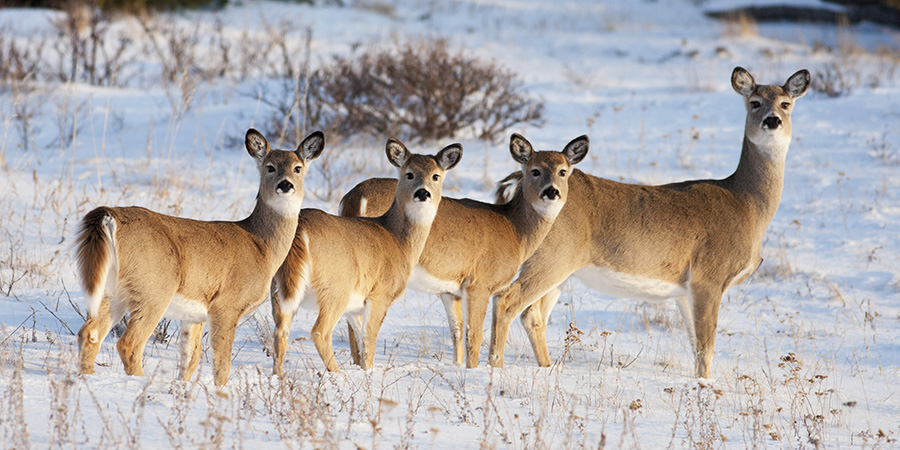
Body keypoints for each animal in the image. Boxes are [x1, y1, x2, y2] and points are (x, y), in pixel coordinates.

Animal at [76, 128, 324, 384]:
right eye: (270, 167)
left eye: (298, 167)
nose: (285, 185)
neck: (262, 246)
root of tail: (109, 215)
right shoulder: (226, 304)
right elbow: (222, 363)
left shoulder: (194, 315)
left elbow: (190, 360)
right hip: (154, 287)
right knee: (129, 343)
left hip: (111, 288)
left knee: (89, 333)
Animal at [270, 139, 460, 374]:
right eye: (409, 174)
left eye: (436, 175)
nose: (423, 193)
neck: (399, 241)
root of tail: (300, 230)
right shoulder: (380, 294)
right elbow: (369, 341)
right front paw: (369, 374)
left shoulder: (355, 306)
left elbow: (360, 342)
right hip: (336, 288)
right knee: (320, 332)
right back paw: (338, 375)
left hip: (279, 288)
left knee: (280, 331)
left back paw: (277, 376)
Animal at [342, 134, 588, 366]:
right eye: (535, 171)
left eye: (563, 171)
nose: (551, 191)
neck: (514, 230)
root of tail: (357, 196)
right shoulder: (480, 283)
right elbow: (475, 336)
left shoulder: (451, 291)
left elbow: (458, 332)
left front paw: (457, 366)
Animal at [488, 67, 812, 378]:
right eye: (754, 102)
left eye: (786, 103)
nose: (772, 120)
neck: (747, 204)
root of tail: (518, 183)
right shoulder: (709, 275)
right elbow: (706, 347)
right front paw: (706, 386)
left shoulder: (686, 289)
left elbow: (695, 345)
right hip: (552, 258)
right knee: (507, 300)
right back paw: (495, 365)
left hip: (562, 268)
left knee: (533, 315)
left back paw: (547, 367)